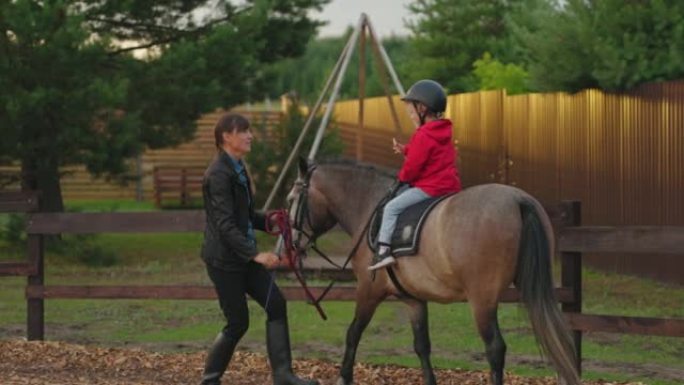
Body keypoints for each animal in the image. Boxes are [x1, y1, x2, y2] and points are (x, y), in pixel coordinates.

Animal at [286, 157, 580, 384]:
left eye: (292, 198)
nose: (294, 244)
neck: (370, 207)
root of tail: (518, 200)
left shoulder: (368, 290)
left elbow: (353, 333)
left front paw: (343, 377)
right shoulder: (413, 299)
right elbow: (422, 346)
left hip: (482, 299)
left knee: (495, 348)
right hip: (534, 288)